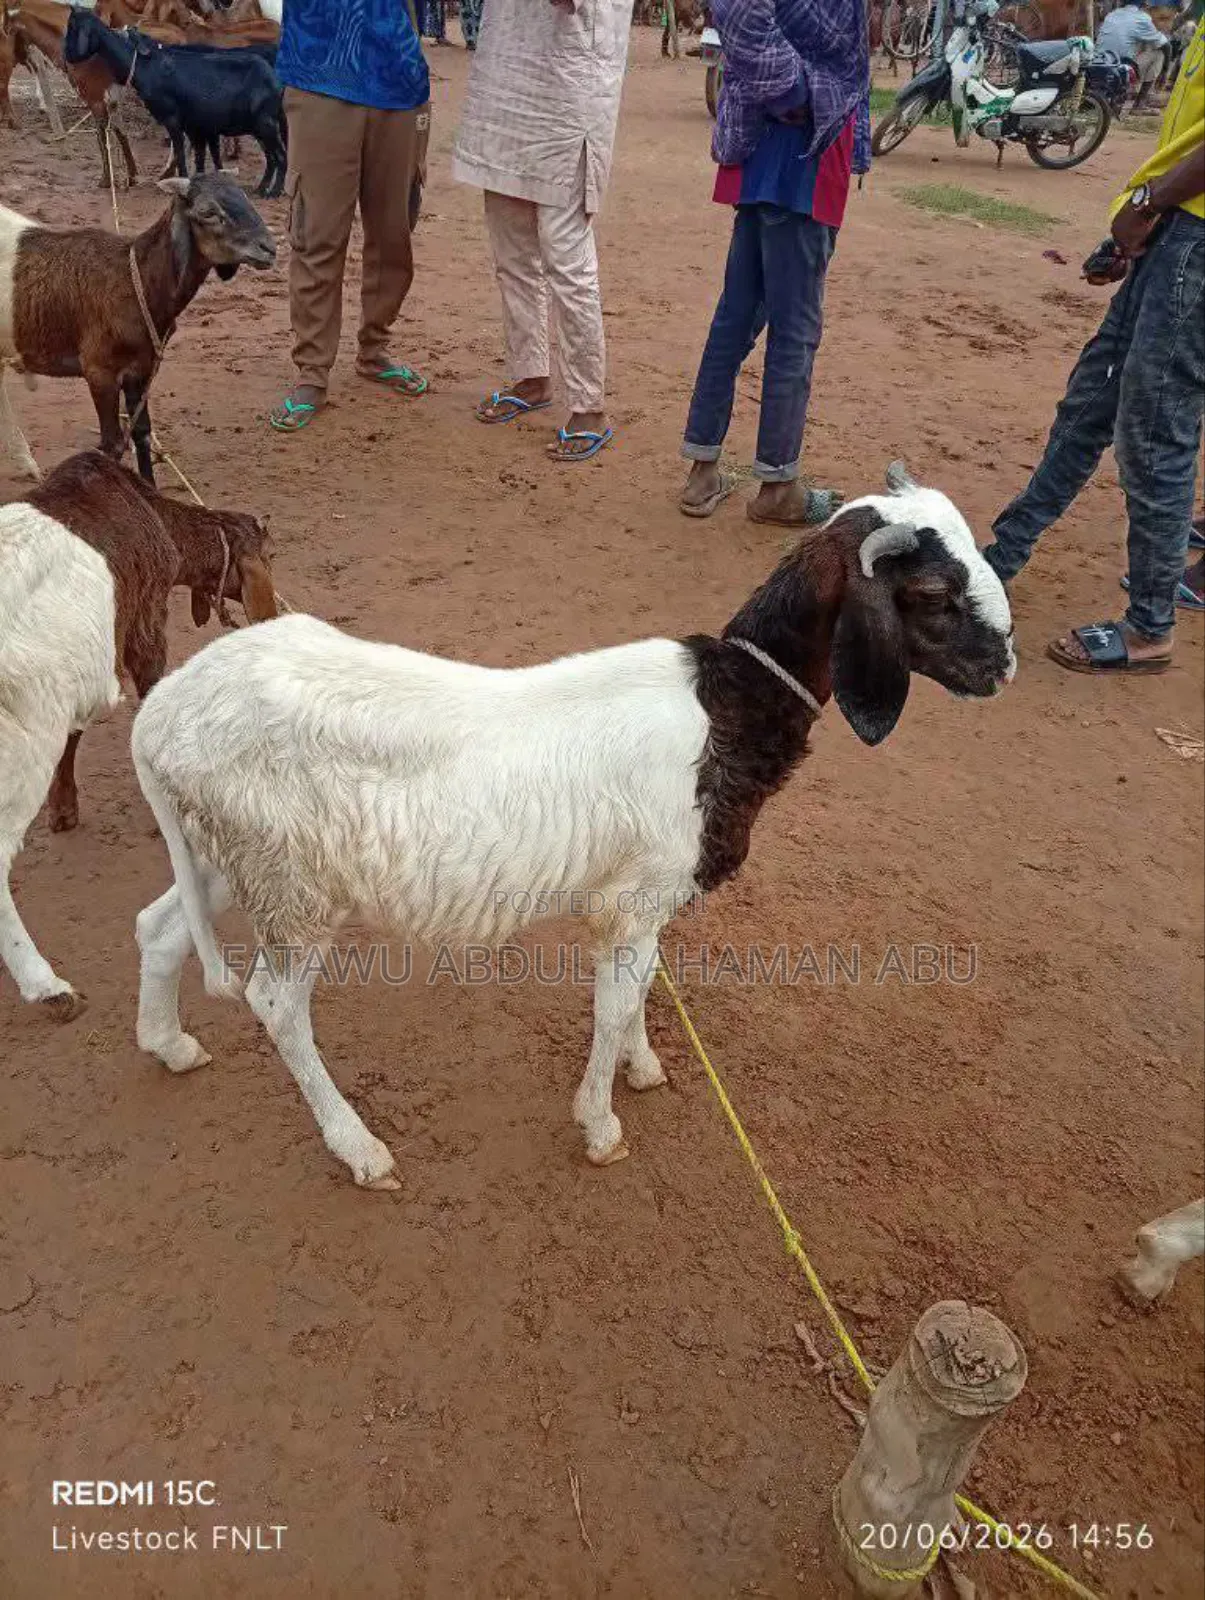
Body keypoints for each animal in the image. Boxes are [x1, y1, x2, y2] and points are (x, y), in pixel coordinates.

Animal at [0, 170, 275, 484]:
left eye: (244, 197)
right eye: (208, 212)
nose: (269, 248)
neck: (136, 281)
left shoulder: (141, 369)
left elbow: (141, 433)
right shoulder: (100, 372)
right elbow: (112, 444)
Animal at [0, 448, 277, 1021]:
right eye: (268, 554)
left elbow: (77, 731)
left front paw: (65, 808)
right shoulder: (143, 623)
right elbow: (149, 691)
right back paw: (47, 985)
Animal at [63, 9, 287, 197]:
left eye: (72, 28)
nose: (67, 58)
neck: (145, 65)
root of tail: (274, 78)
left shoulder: (173, 118)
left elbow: (180, 152)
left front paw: (182, 182)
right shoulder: (196, 125)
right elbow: (200, 157)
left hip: (265, 122)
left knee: (280, 155)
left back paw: (274, 191)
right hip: (260, 126)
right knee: (271, 157)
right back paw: (261, 188)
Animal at [130, 464, 1015, 1190]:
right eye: (931, 595)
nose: (1000, 669)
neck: (724, 706)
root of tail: (163, 711)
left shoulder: (641, 907)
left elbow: (641, 990)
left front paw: (643, 1067)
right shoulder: (633, 899)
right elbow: (614, 1005)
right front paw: (600, 1126)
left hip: (227, 854)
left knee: (160, 927)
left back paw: (167, 1043)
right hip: (294, 887)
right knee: (276, 1004)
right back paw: (360, 1149)